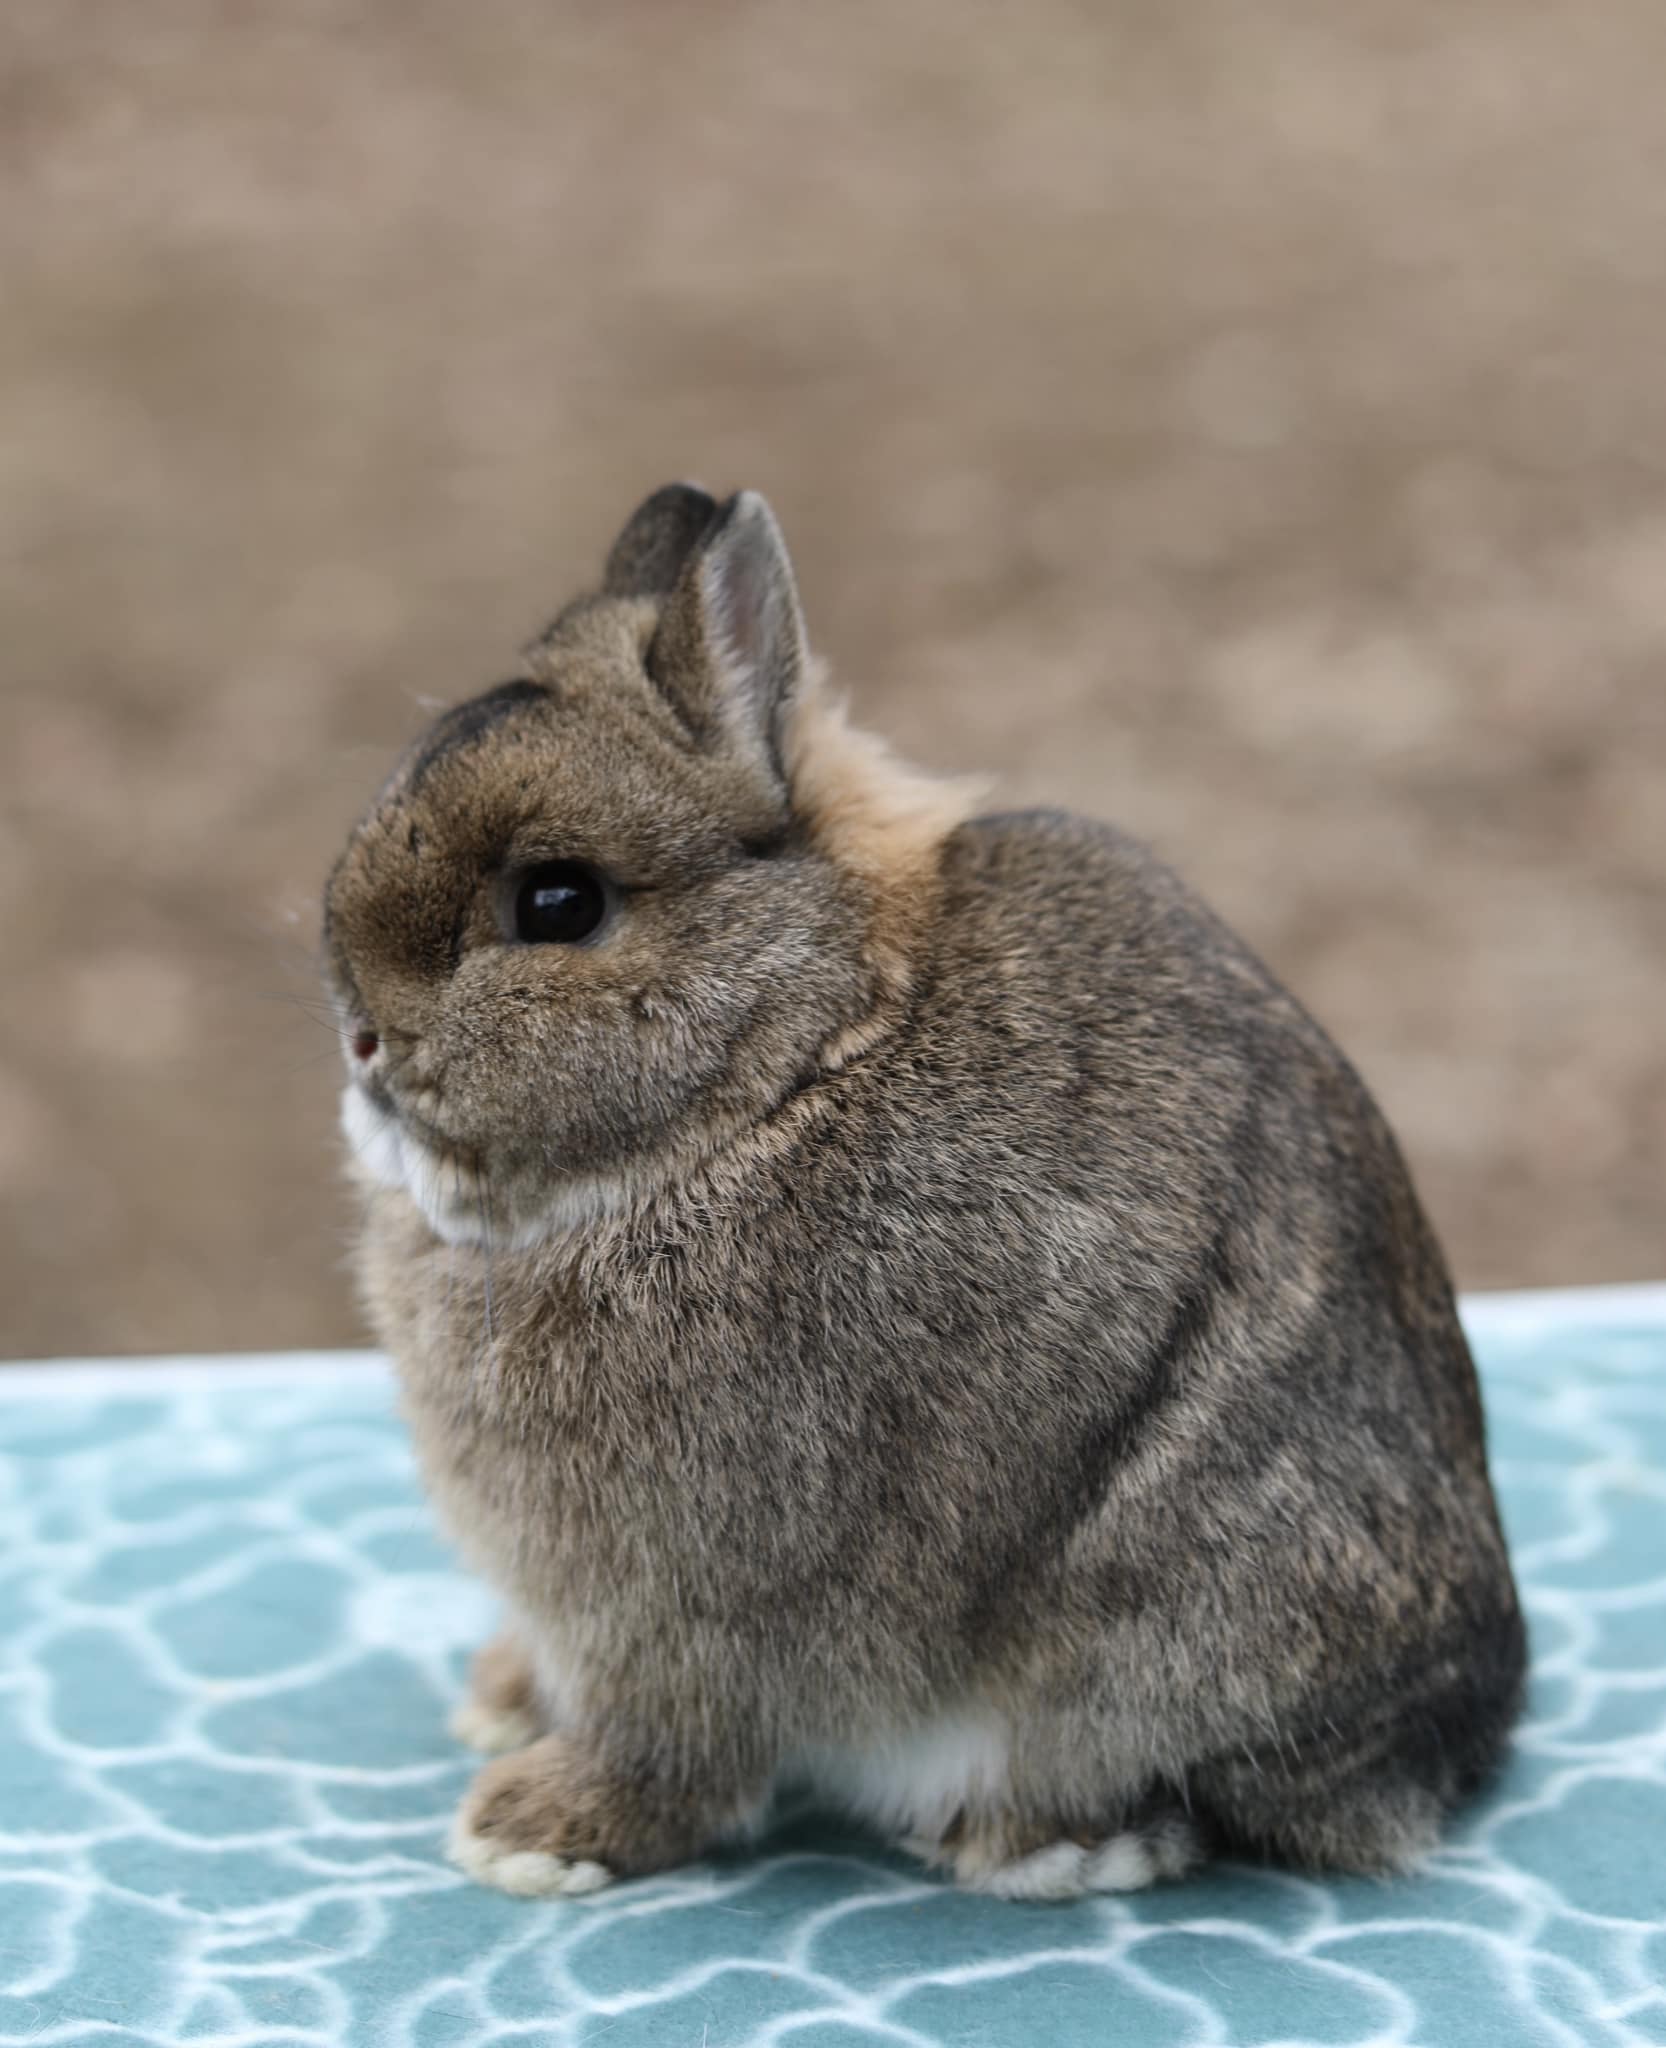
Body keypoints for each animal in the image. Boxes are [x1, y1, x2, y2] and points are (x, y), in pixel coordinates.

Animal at [323, 482, 1526, 1901]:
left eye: (557, 901)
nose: (360, 1039)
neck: (789, 1065)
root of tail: (1449, 1747)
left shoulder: (677, 1602)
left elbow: (669, 1747)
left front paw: (530, 1829)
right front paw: (503, 1703)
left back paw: (1039, 1842)